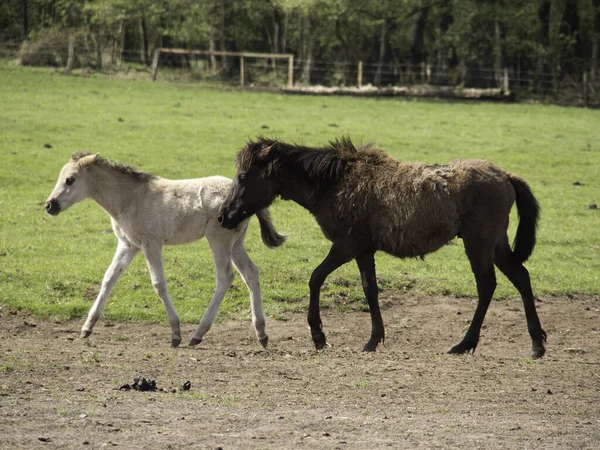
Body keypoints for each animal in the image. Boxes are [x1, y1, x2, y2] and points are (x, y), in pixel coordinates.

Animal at [45, 152, 284, 348]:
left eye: (70, 179)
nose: (49, 205)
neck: (131, 199)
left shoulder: (151, 244)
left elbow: (158, 284)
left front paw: (175, 333)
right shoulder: (128, 245)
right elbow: (109, 278)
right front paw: (87, 327)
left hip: (218, 239)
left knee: (225, 277)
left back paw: (197, 334)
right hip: (236, 243)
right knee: (251, 273)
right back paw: (261, 334)